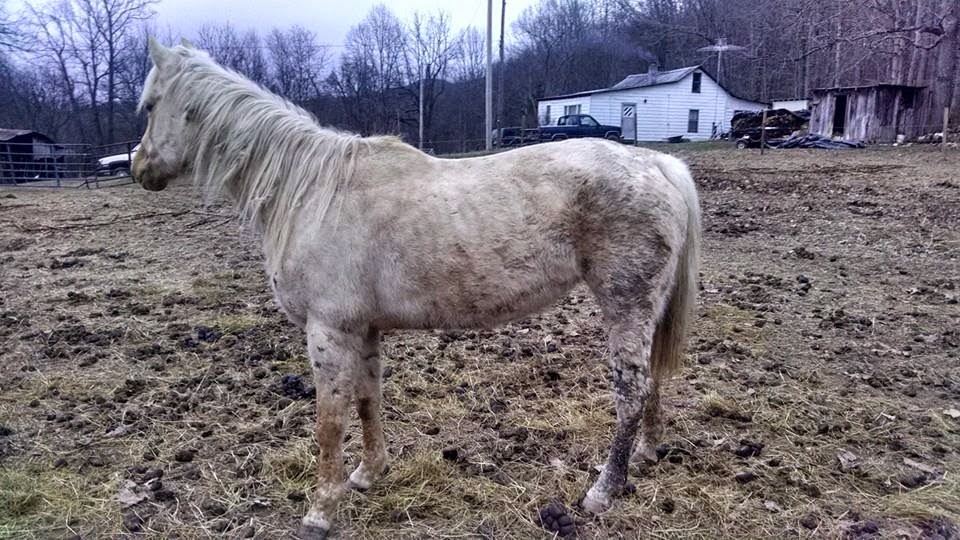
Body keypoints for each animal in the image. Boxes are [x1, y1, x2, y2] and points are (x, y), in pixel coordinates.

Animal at [133, 37, 701, 539]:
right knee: (650, 382)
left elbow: (329, 421)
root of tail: (659, 165)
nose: (139, 167)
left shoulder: (328, 332)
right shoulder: (362, 330)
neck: (312, 191)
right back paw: (647, 453)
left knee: (630, 391)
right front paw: (368, 474)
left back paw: (604, 491)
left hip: (625, 304)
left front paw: (320, 512)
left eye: (151, 104)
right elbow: (368, 398)